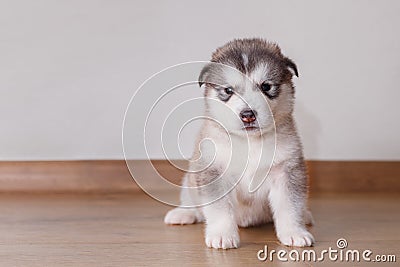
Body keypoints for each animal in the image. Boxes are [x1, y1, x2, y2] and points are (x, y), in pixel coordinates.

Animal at [164, 38, 314, 250]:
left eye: (266, 87)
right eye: (228, 90)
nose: (248, 114)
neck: (250, 142)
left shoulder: (287, 170)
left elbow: (290, 206)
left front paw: (294, 232)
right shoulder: (214, 171)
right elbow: (219, 210)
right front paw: (222, 235)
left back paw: (306, 216)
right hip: (190, 178)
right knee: (191, 199)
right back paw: (184, 213)